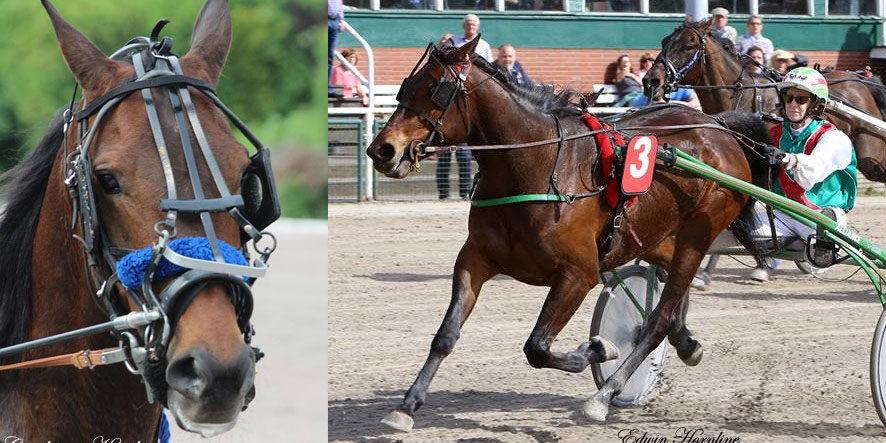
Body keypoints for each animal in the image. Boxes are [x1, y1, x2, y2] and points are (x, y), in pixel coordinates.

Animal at [366, 38, 772, 430]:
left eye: (436, 89)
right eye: (406, 85)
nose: (381, 150)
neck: (538, 166)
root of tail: (717, 126)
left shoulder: (579, 274)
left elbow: (537, 347)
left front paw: (600, 350)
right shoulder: (475, 258)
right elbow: (445, 335)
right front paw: (406, 406)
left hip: (699, 231)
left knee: (656, 320)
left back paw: (605, 395)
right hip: (653, 236)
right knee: (671, 300)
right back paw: (685, 342)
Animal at [645, 18, 886, 184]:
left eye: (689, 45)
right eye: (664, 42)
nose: (651, 80)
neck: (740, 95)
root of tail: (860, 81)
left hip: (870, 153)